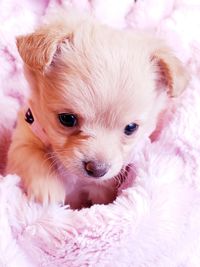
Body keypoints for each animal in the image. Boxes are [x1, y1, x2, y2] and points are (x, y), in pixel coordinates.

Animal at [5, 12, 188, 209]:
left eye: (131, 128)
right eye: (67, 119)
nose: (97, 169)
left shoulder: (103, 185)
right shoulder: (23, 139)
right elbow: (31, 155)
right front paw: (48, 189)